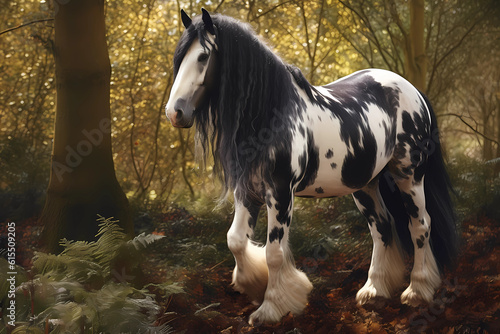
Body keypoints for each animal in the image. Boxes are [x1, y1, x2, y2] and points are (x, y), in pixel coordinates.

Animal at [165, 9, 458, 324]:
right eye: (180, 58)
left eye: (203, 56)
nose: (174, 112)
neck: (271, 115)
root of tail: (412, 90)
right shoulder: (246, 192)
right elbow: (235, 241)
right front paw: (254, 284)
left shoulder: (280, 193)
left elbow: (274, 253)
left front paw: (272, 307)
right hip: (365, 185)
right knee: (382, 226)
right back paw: (374, 290)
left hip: (409, 176)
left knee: (420, 225)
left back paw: (418, 290)